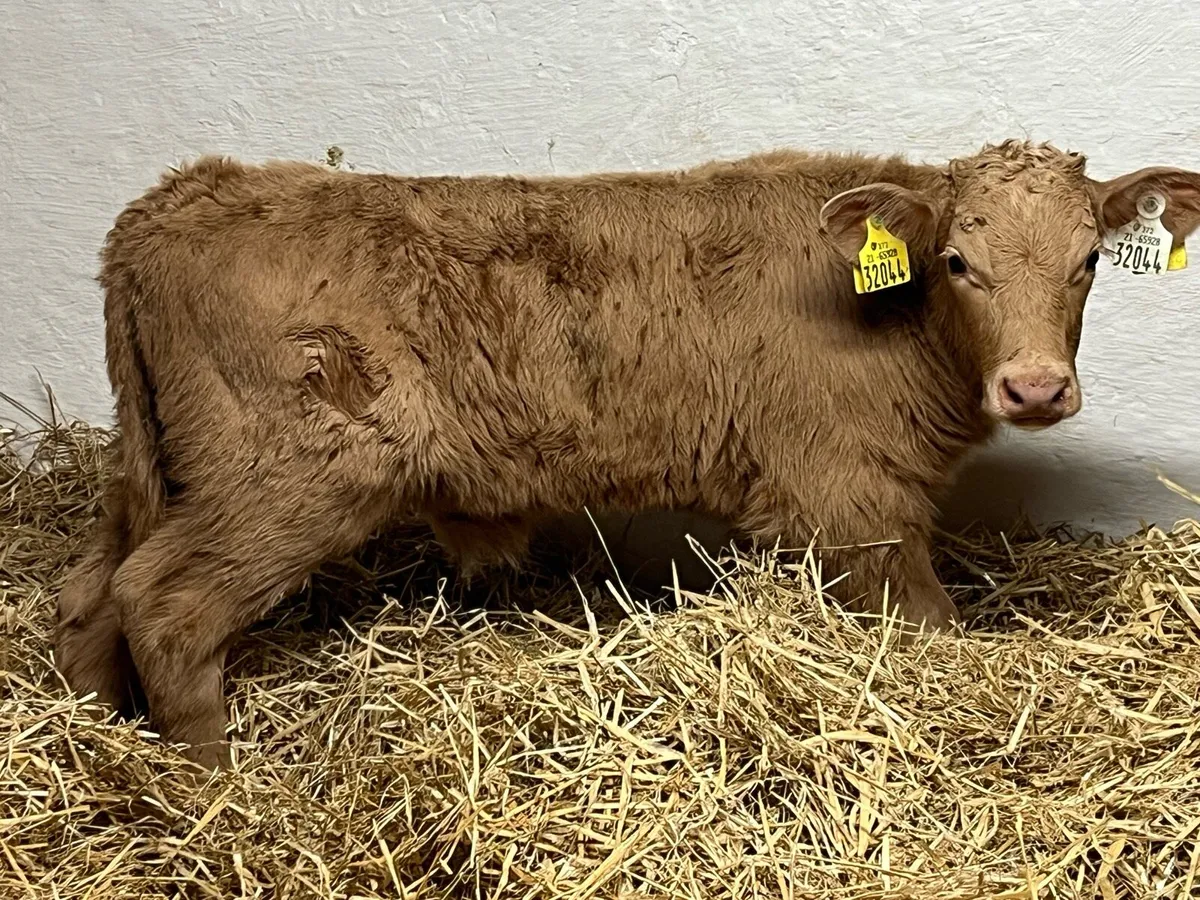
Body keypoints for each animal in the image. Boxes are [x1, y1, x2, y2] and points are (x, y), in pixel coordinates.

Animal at [54, 140, 1200, 769]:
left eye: (1088, 262)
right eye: (958, 261)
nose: (1037, 388)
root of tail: (179, 197)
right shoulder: (853, 499)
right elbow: (928, 629)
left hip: (151, 473)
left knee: (88, 594)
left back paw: (97, 737)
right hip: (283, 478)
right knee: (164, 604)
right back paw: (217, 790)